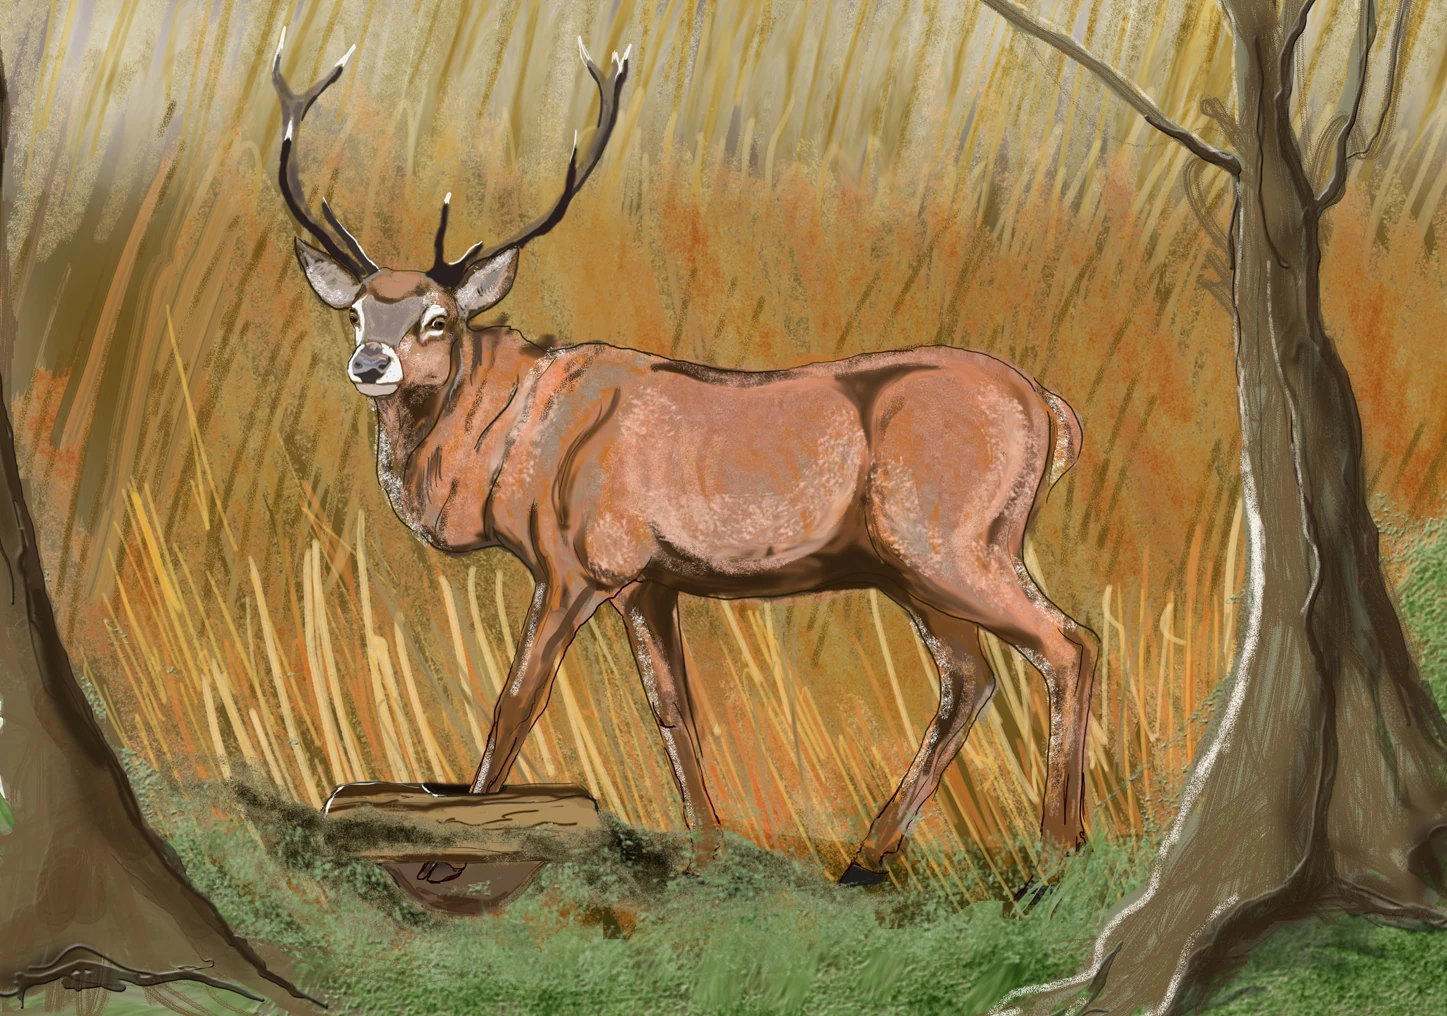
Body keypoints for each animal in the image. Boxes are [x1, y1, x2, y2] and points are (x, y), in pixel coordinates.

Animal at [273, 30, 1098, 886]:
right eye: (357, 310)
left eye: (436, 319)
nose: (370, 363)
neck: (504, 451)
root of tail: (1052, 410)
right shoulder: (649, 580)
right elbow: (672, 710)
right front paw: (705, 849)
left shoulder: (577, 563)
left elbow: (517, 700)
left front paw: (463, 831)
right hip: (910, 567)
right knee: (969, 678)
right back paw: (868, 857)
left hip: (952, 541)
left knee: (1068, 644)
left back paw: (1056, 856)